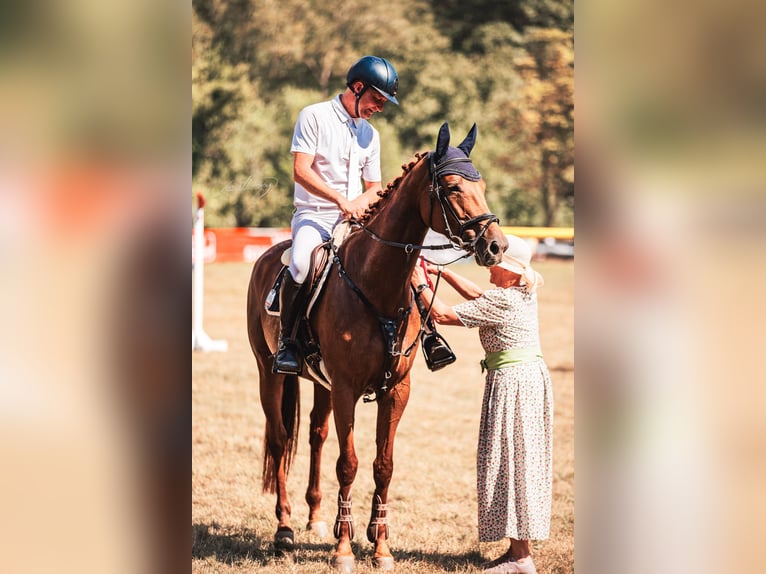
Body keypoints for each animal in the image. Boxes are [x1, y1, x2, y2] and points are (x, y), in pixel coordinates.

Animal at [248, 122, 510, 572]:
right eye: (453, 187)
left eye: (482, 185)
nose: (496, 246)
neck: (376, 285)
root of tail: (269, 255)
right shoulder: (348, 388)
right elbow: (349, 464)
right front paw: (344, 550)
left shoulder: (395, 390)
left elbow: (383, 465)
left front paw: (379, 544)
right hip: (270, 372)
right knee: (281, 440)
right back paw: (284, 528)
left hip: (322, 384)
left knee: (316, 434)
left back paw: (316, 518)